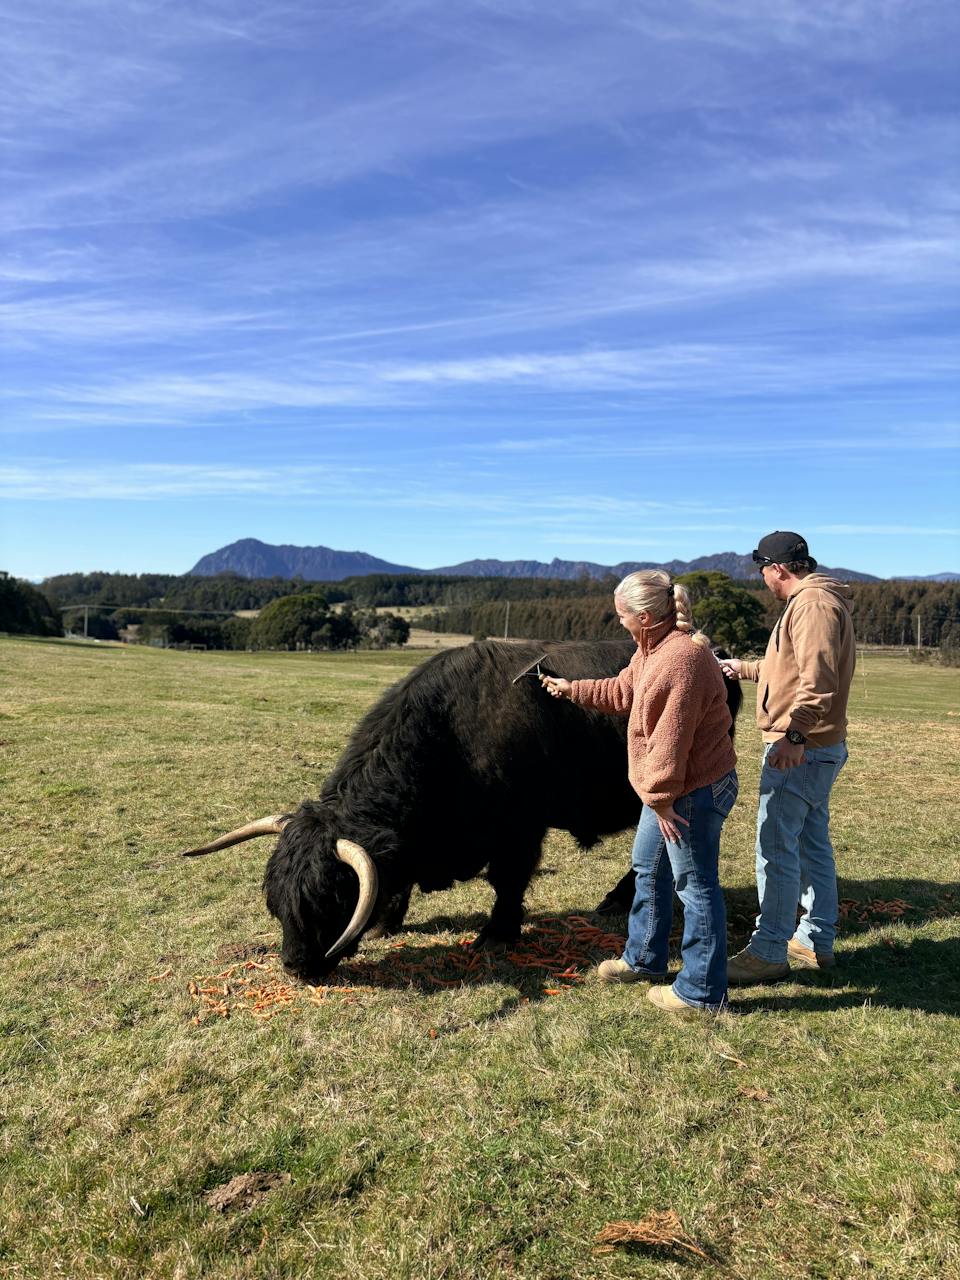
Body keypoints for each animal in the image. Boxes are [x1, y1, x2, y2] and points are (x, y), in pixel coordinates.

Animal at [181, 638, 741, 982]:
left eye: (331, 898)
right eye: (274, 901)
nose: (296, 967)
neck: (449, 735)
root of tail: (718, 656)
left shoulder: (520, 827)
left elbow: (508, 880)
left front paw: (496, 935)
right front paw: (385, 921)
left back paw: (618, 898)